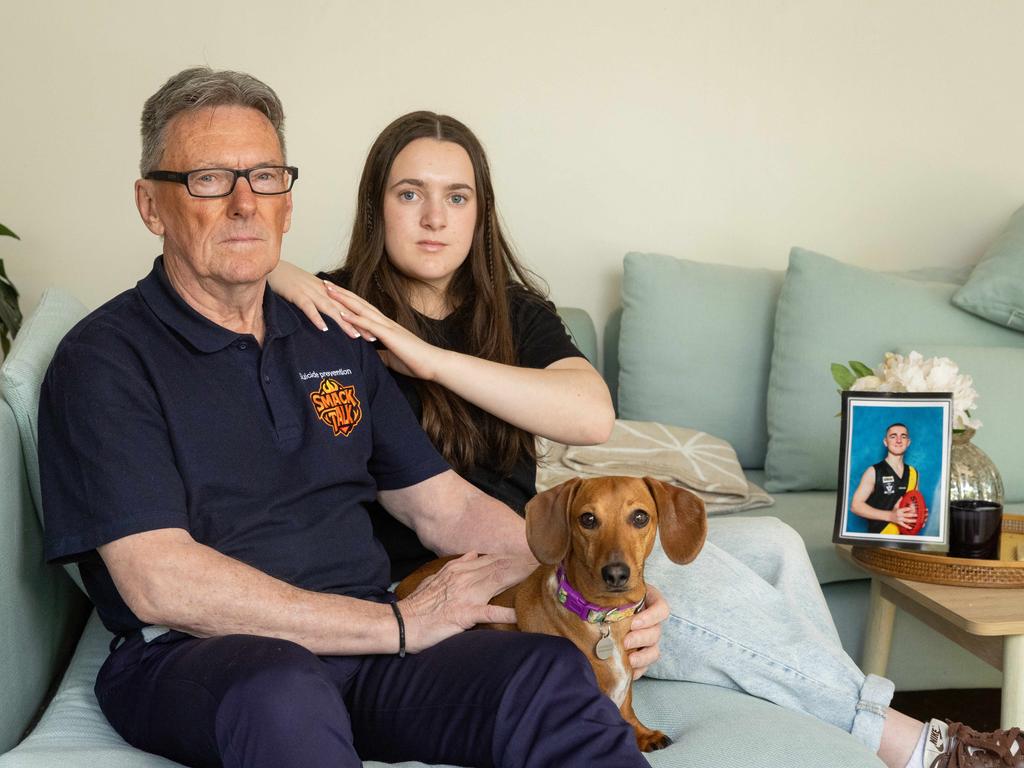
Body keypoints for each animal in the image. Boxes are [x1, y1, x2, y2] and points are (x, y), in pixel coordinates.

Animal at [395, 479, 708, 753]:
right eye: (588, 519)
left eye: (640, 517)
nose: (616, 573)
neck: (602, 619)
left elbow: (627, 704)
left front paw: (641, 731)